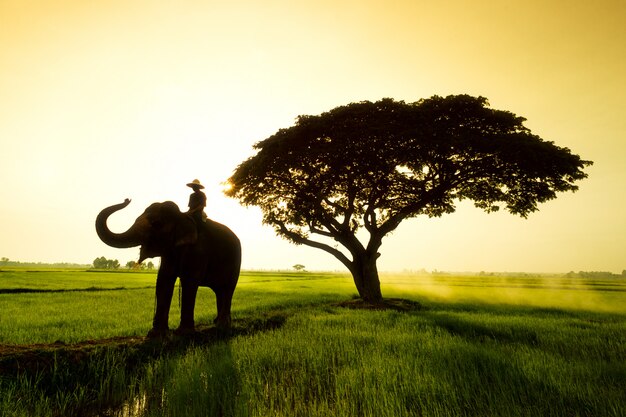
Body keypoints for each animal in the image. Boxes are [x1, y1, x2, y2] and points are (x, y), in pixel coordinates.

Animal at [96, 198, 240, 338]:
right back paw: (218, 323)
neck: (182, 215)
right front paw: (156, 334)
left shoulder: (198, 251)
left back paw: (222, 326)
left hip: (236, 262)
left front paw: (184, 334)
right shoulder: (169, 252)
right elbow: (164, 279)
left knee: (228, 288)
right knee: (219, 290)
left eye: (156, 224)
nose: (127, 199)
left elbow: (189, 281)